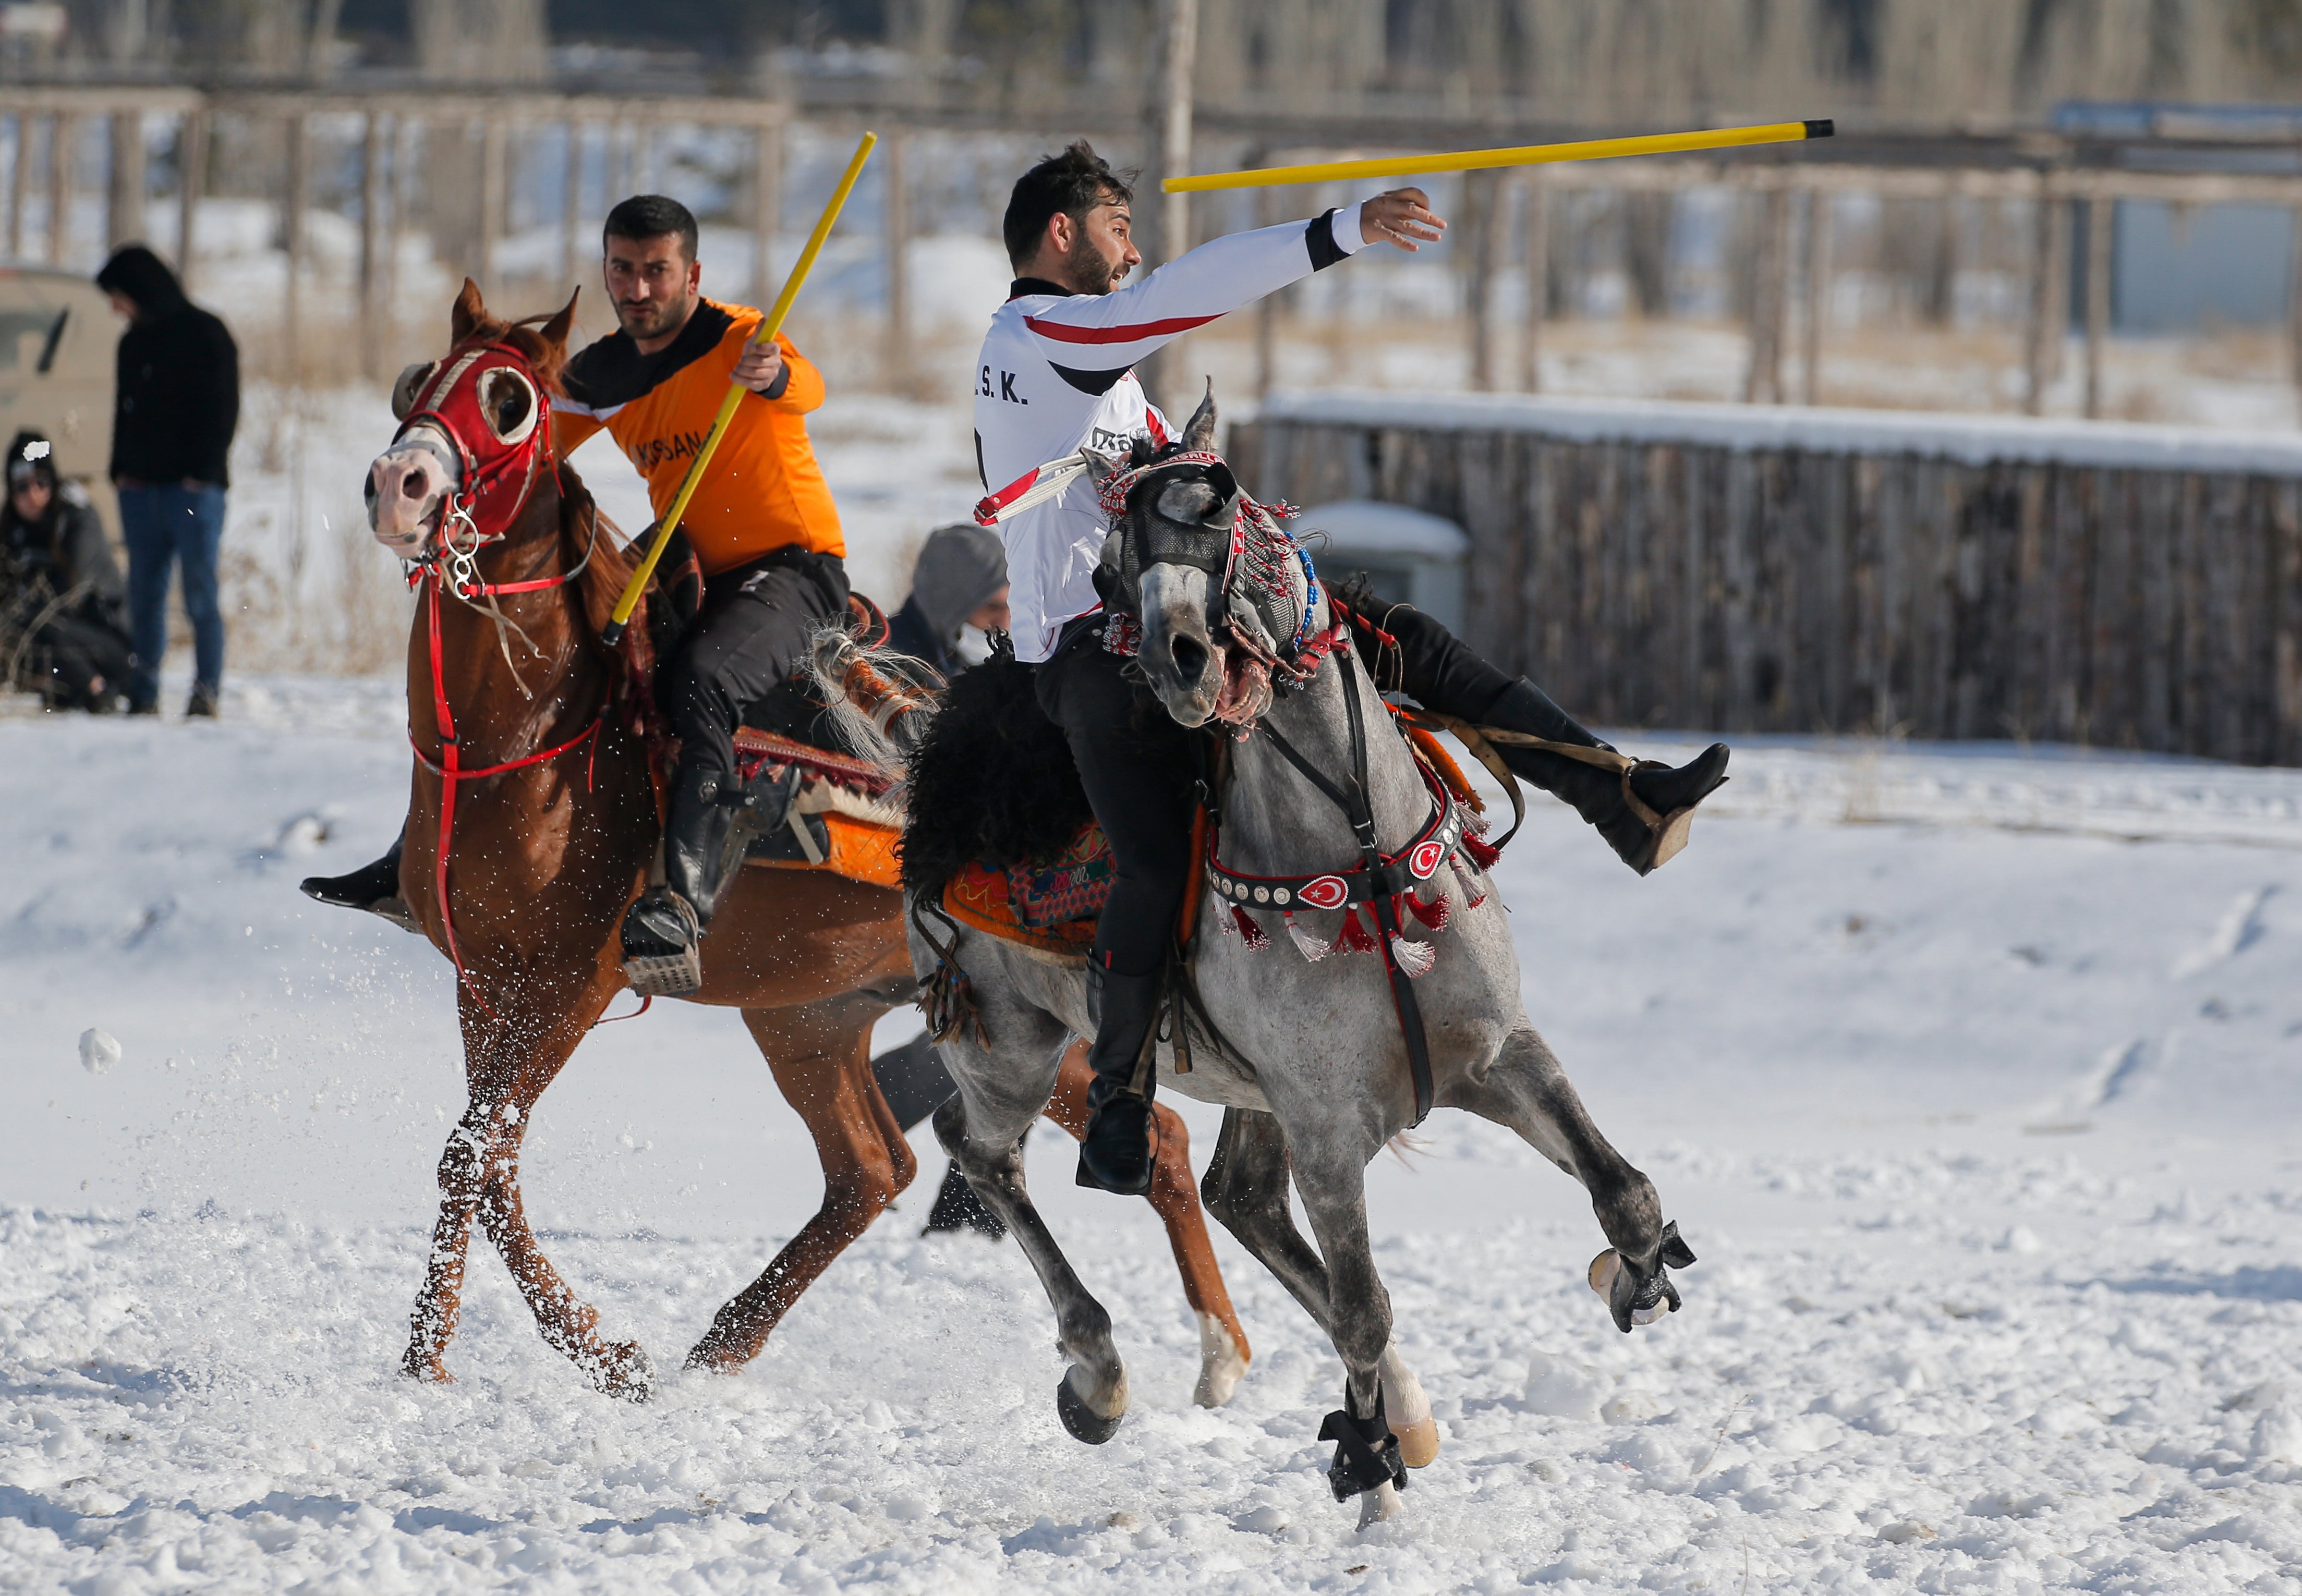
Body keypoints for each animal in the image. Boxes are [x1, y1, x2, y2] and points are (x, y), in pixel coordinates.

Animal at [366, 279, 1252, 1400]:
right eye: (417, 383)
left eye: (512, 400)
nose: (398, 484)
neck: (529, 734)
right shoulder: (484, 979)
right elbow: (485, 1164)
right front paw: (431, 1358)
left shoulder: (571, 980)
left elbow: (474, 1153)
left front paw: (589, 1350)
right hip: (813, 1014)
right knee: (873, 1167)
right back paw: (723, 1342)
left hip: (1020, 1014)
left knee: (1161, 1139)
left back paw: (1222, 1350)